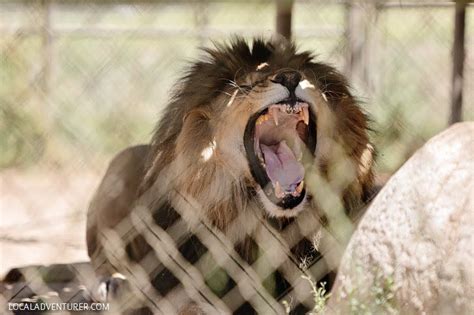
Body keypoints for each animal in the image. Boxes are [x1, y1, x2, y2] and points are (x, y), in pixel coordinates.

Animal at [84, 37, 374, 314]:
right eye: (246, 85)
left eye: (308, 79)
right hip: (123, 161)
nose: (291, 77)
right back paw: (111, 284)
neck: (273, 223)